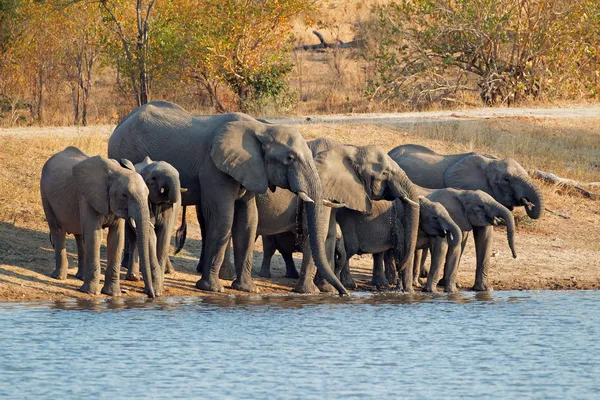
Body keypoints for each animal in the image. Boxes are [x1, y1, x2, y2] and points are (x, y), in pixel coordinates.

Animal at [40, 146, 163, 296]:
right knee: (58, 230)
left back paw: (81, 277)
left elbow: (116, 238)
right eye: (125, 195)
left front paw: (113, 294)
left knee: (80, 235)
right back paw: (59, 276)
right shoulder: (88, 197)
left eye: (147, 195)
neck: (116, 172)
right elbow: (95, 236)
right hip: (45, 194)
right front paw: (91, 293)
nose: (151, 295)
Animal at [109, 100, 346, 294]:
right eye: (290, 158)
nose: (344, 293)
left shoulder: (249, 169)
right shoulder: (214, 168)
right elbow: (224, 217)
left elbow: (247, 221)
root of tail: (120, 123)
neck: (260, 129)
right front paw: (212, 288)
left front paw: (247, 289)